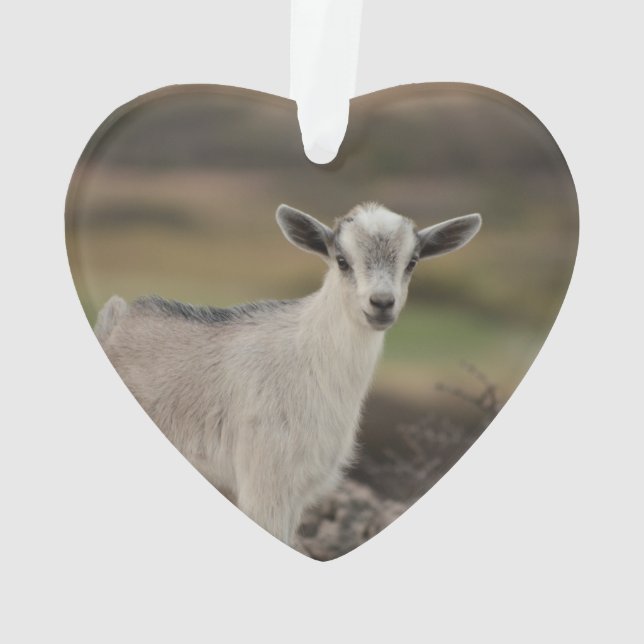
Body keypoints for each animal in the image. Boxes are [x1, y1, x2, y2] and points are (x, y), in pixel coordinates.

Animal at [95, 202, 481, 546]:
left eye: (412, 261)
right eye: (342, 261)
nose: (382, 303)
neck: (309, 362)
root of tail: (113, 321)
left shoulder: (297, 490)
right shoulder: (265, 478)